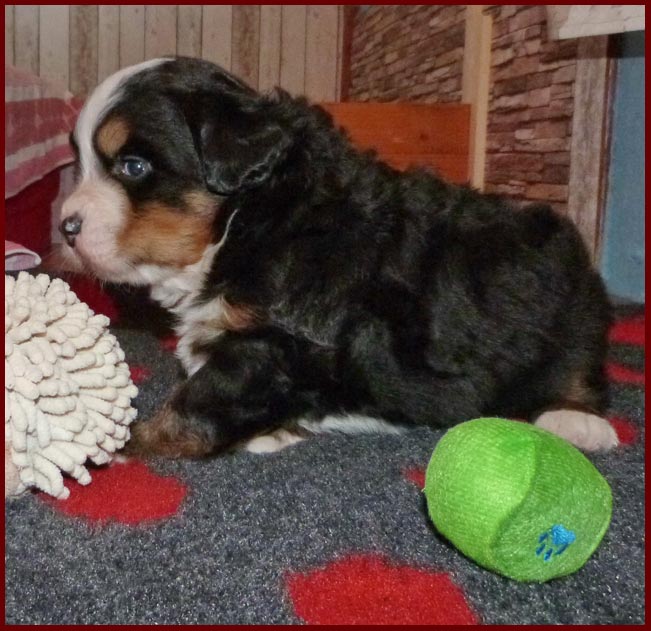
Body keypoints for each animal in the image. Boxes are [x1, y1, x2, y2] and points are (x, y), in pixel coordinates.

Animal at [59, 57, 617, 457]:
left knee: (577, 371)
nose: (65, 226)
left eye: (133, 167)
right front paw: (276, 430)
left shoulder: (270, 344)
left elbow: (195, 403)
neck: (251, 219)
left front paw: (114, 446)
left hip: (575, 317)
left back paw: (577, 421)